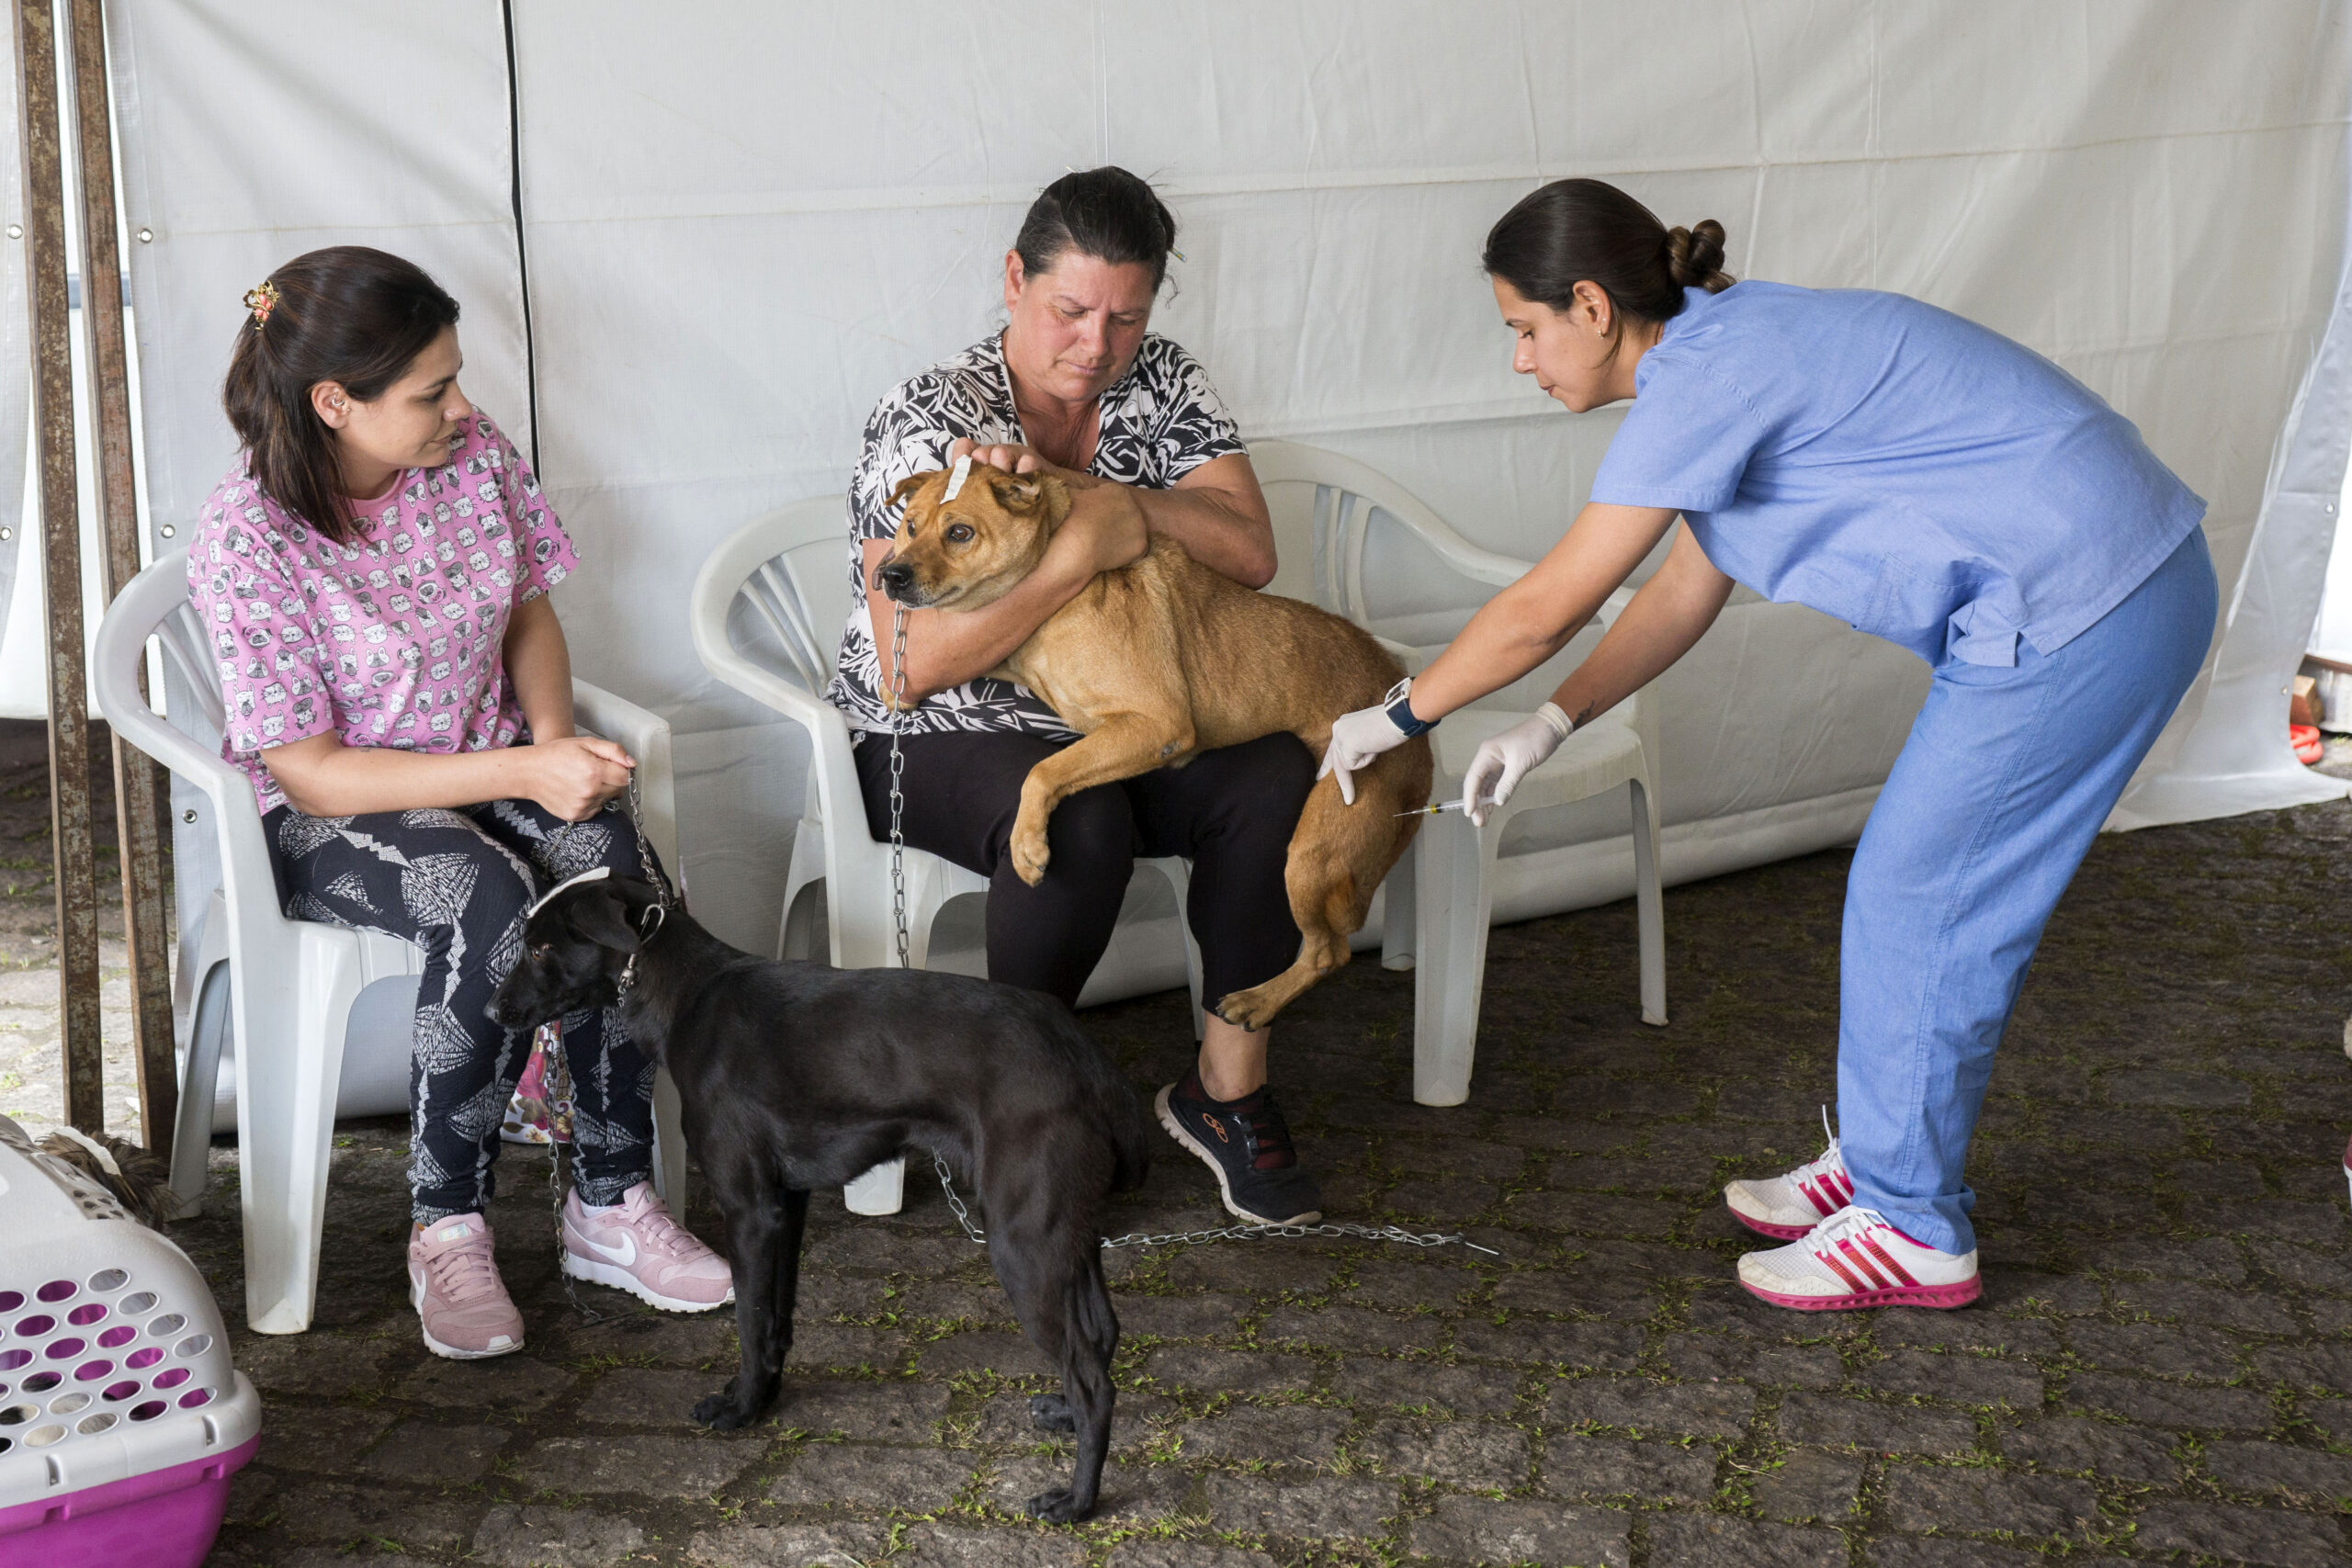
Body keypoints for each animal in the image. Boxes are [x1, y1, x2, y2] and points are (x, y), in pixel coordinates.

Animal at [493, 869, 1148, 1523]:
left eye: (540, 948)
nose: (493, 1010)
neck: (688, 997)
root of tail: (1084, 1055)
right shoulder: (787, 1205)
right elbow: (775, 1318)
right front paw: (763, 1395)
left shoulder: (749, 1210)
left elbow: (749, 1321)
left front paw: (741, 1409)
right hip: (1063, 1235)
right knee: (1102, 1335)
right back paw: (1064, 1413)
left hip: (1022, 1243)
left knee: (1093, 1380)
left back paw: (1077, 1500)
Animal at [875, 465, 1430, 1029]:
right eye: (910, 525)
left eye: (960, 533)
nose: (890, 574)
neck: (1056, 592)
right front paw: (894, 690)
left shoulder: (1156, 724)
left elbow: (1044, 771)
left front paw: (1026, 842)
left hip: (1310, 854)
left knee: (1329, 952)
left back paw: (1258, 1000)